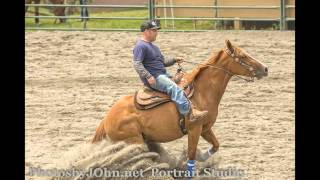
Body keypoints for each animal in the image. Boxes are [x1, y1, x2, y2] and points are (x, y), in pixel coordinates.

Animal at [92, 39, 268, 173]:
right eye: (243, 55)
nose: (265, 69)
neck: (202, 92)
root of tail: (107, 119)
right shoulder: (194, 128)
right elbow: (191, 155)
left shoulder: (205, 128)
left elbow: (215, 145)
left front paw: (202, 156)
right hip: (134, 142)